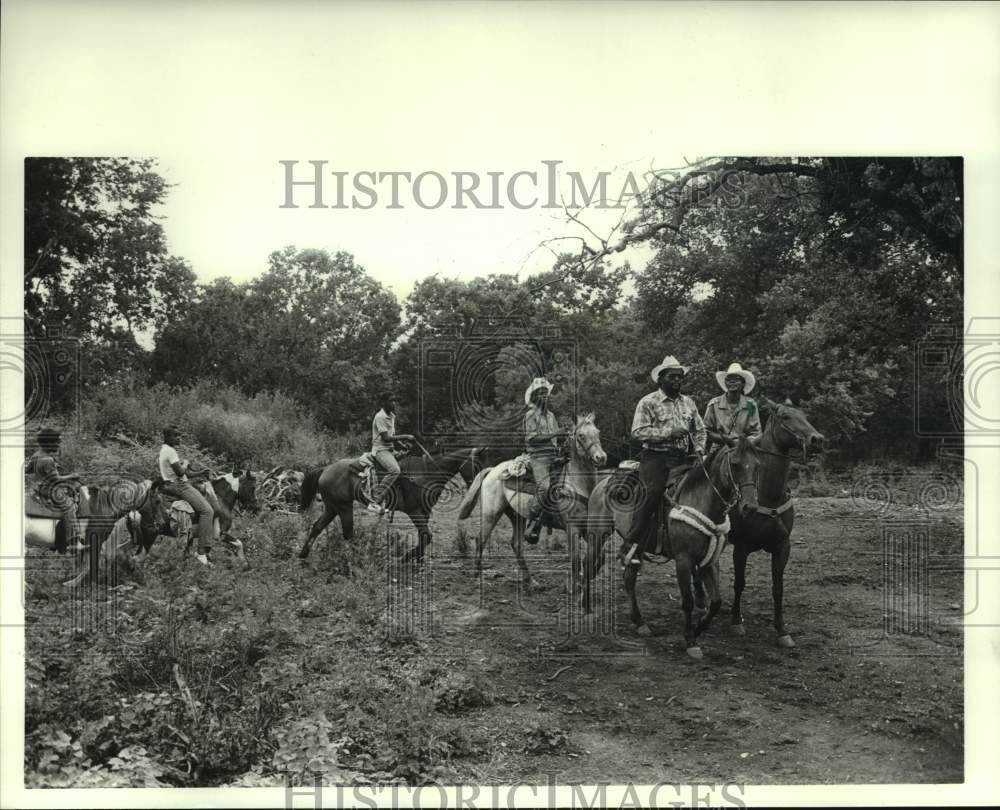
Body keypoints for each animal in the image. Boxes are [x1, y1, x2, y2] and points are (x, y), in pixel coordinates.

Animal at [294, 442, 482, 560]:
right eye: (476, 466)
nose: (477, 488)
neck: (426, 472)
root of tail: (325, 468)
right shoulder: (415, 511)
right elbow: (427, 536)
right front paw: (406, 557)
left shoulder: (425, 511)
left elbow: (423, 536)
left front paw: (418, 559)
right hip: (343, 508)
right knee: (348, 534)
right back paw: (359, 557)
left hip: (332, 507)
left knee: (317, 527)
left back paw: (303, 555)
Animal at [732, 400, 824, 648]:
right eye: (785, 417)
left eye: (805, 415)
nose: (817, 439)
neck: (767, 496)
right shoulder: (740, 547)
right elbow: (740, 582)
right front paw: (736, 621)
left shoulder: (783, 547)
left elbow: (778, 588)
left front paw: (782, 630)